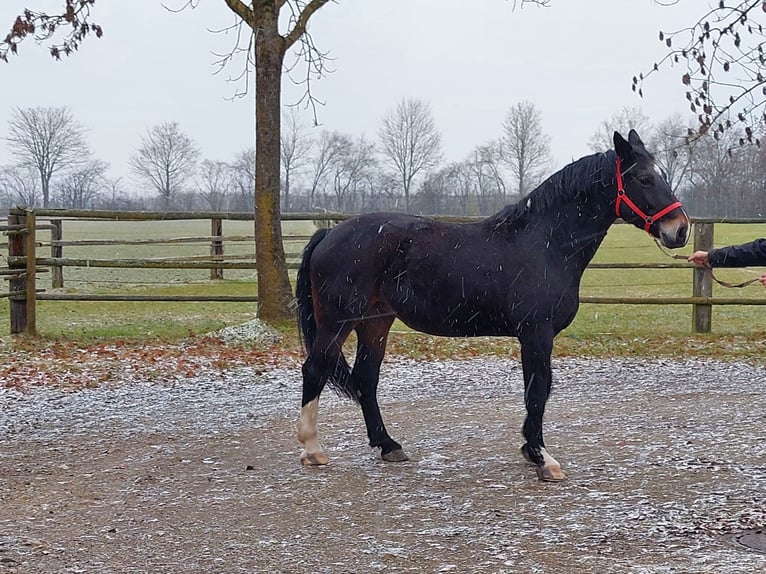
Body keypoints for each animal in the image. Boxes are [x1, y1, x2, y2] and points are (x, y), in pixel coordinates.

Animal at [294, 129, 690, 481]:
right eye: (643, 178)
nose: (680, 229)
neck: (546, 242)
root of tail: (330, 233)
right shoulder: (536, 334)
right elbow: (537, 390)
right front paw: (542, 457)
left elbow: (537, 390)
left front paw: (532, 451)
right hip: (338, 321)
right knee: (314, 369)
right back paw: (312, 449)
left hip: (375, 322)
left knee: (366, 378)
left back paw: (388, 445)